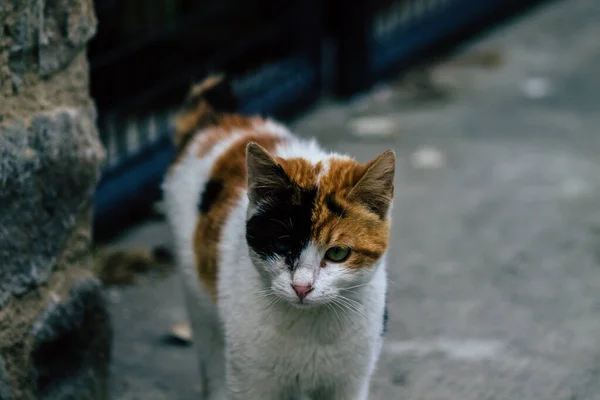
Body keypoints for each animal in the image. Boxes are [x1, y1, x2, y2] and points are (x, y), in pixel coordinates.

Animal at [162, 76, 396, 400]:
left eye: (338, 253)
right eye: (282, 244)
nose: (302, 287)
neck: (309, 328)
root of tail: (218, 120)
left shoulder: (349, 383)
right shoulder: (251, 384)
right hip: (199, 304)